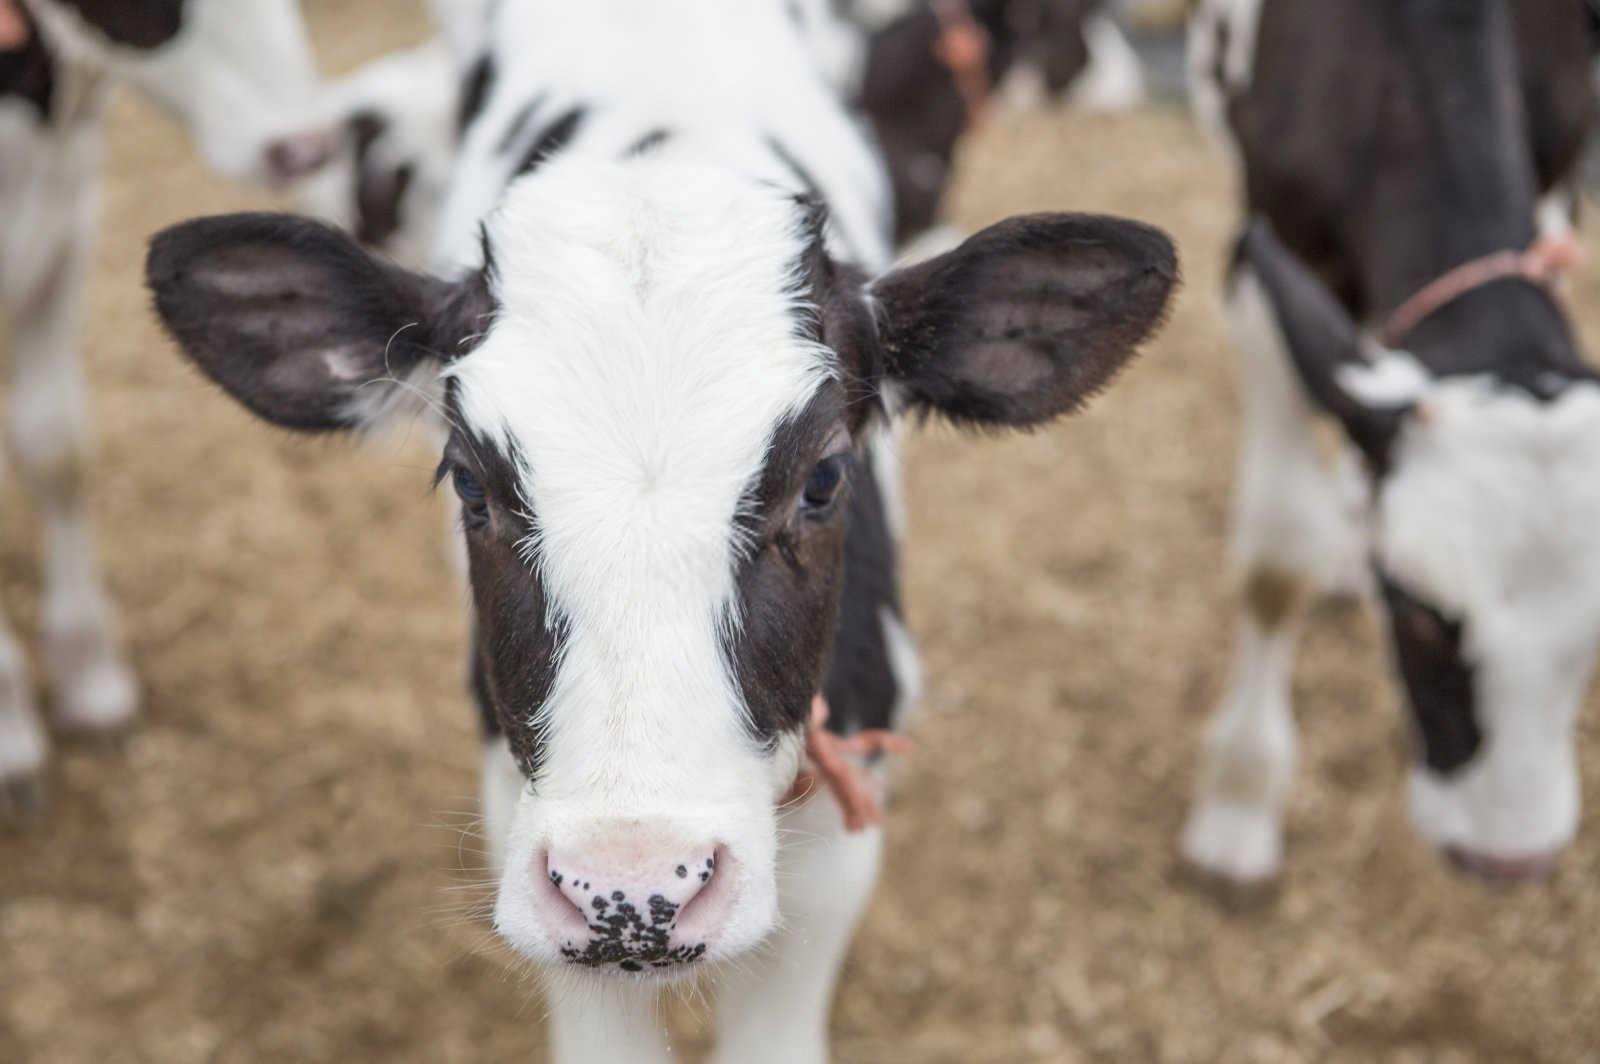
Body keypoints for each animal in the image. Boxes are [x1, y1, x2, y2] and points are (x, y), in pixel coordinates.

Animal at [1190, 0, 1600, 889]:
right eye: (1415, 614)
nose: (1509, 858)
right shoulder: (1265, 260)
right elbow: (1277, 559)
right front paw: (1236, 812)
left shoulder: (1556, 186)